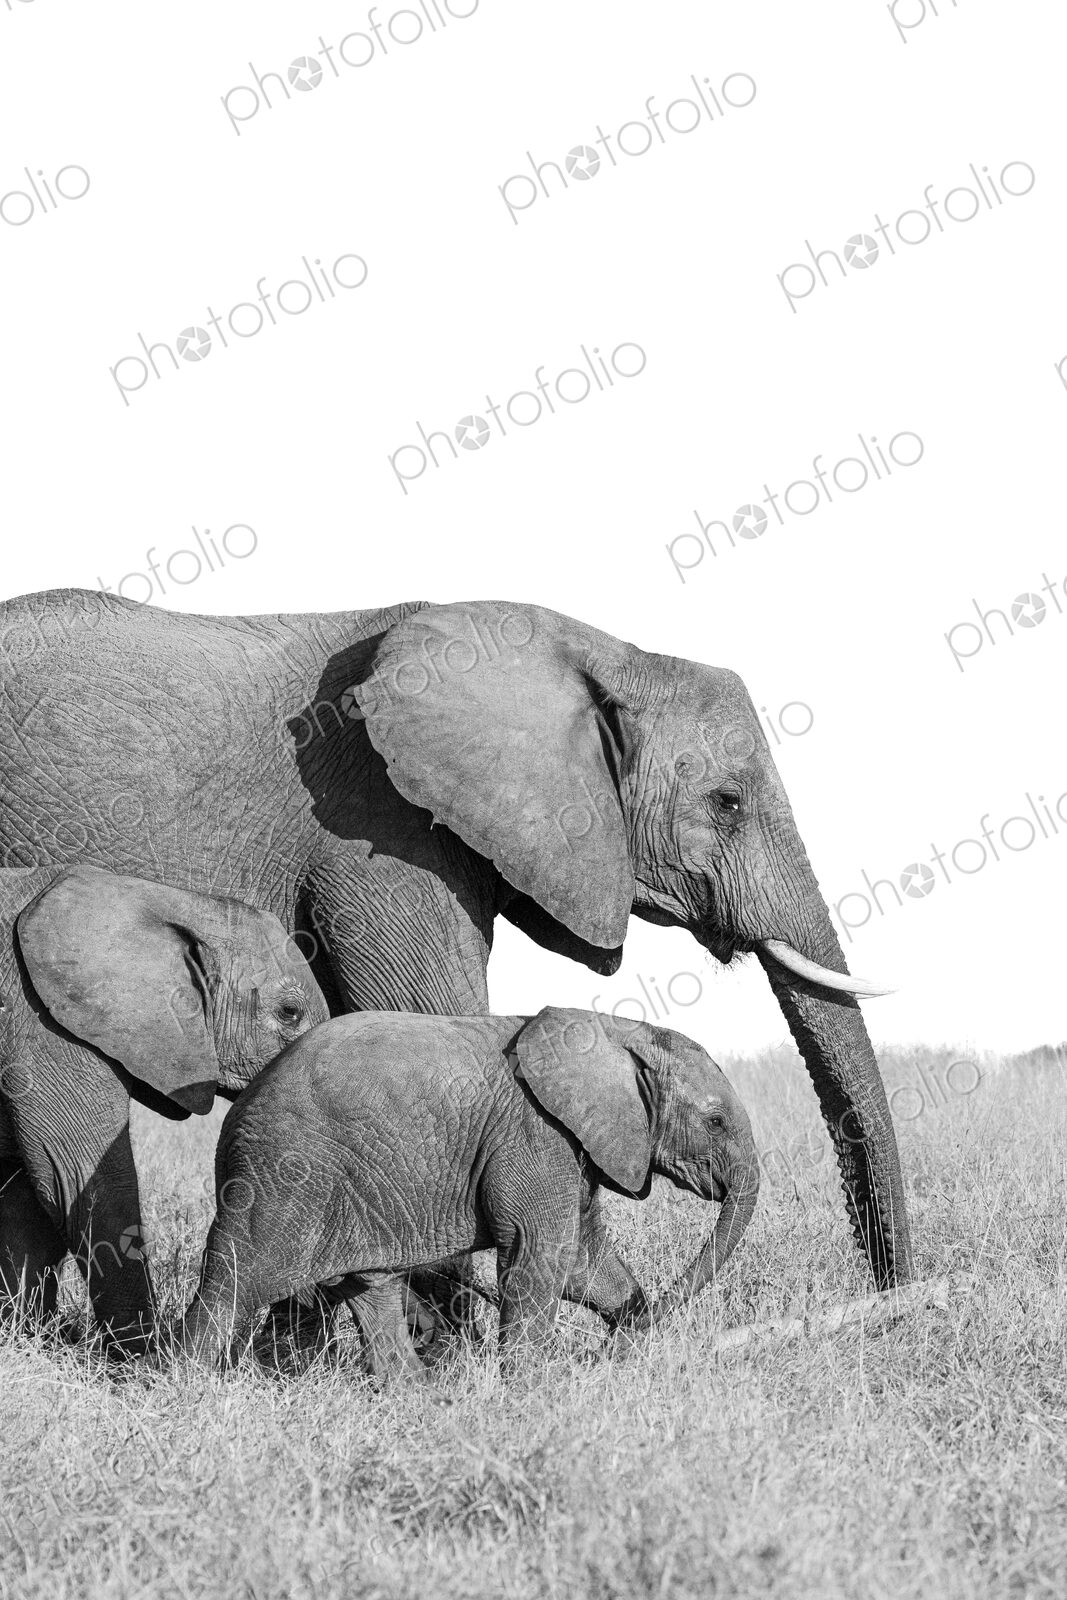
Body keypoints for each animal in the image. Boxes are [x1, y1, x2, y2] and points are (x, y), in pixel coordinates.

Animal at [0, 863, 327, 1353]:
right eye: (289, 1013)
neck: (169, 900)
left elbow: (25, 1194)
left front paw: (23, 1335)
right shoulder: (43, 1023)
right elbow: (79, 1180)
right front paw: (137, 1355)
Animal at [178, 1006, 759, 1376]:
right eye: (714, 1121)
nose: (603, 1355)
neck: (618, 1031)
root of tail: (238, 1106)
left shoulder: (574, 1143)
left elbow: (582, 1263)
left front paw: (629, 1329)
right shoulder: (534, 1133)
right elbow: (541, 1254)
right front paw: (531, 1388)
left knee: (371, 1285)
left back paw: (420, 1394)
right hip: (282, 1173)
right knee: (233, 1283)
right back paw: (187, 1387)